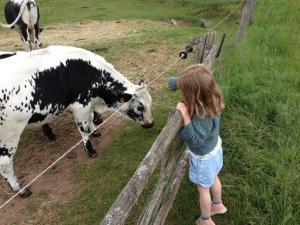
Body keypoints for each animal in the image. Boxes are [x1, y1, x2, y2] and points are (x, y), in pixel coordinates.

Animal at [0, 44, 154, 196]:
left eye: (150, 102)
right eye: (140, 107)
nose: (151, 123)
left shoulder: (87, 104)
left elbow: (91, 118)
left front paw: (95, 131)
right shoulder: (81, 106)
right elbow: (83, 129)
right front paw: (90, 150)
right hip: (9, 135)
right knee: (5, 164)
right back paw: (20, 190)